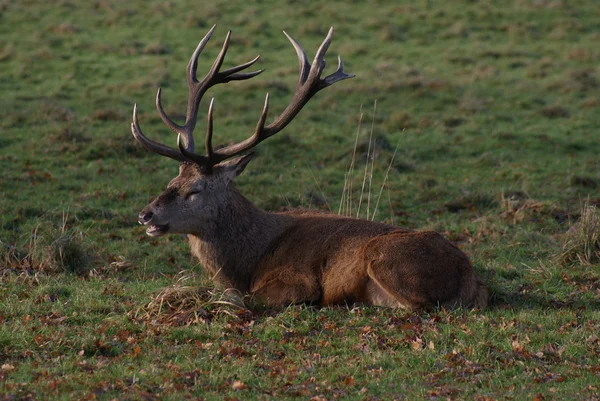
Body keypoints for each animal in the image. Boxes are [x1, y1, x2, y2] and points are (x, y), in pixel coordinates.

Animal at [130, 25, 488, 310]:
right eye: (172, 180)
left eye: (195, 190)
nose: (145, 214)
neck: (247, 261)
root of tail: (469, 276)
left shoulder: (297, 281)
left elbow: (241, 299)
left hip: (384, 257)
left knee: (419, 304)